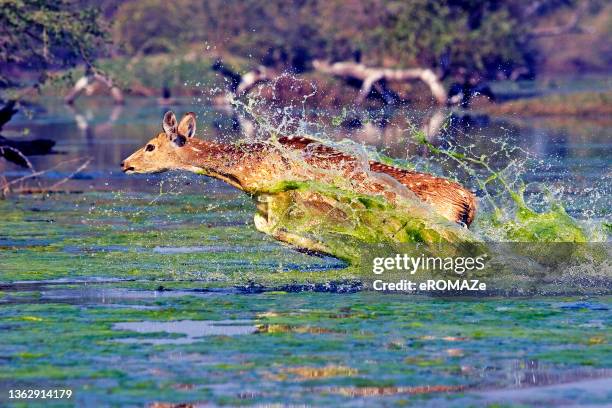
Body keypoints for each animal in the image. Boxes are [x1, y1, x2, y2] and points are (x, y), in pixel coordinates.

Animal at [122, 111, 476, 255]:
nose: (126, 163)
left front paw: (324, 250)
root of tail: (469, 202)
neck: (244, 170)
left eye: (150, 146)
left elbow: (276, 229)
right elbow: (263, 226)